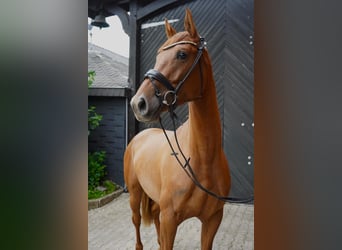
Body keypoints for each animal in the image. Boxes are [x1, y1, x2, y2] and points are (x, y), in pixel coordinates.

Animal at [123, 8, 230, 249]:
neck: (200, 160)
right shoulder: (170, 219)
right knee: (136, 222)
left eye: (182, 55)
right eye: (157, 56)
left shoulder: (213, 219)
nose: (138, 103)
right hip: (134, 194)